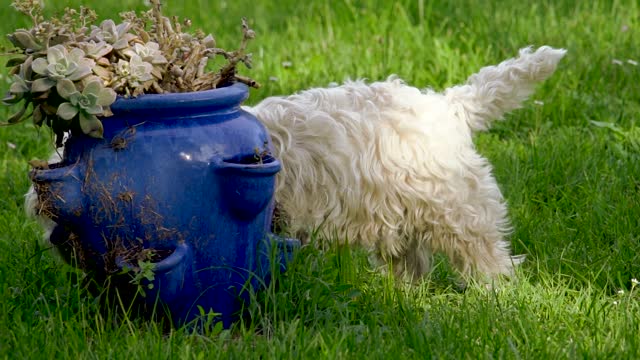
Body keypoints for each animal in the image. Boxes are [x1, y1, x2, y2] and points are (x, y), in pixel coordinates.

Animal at [25, 45, 564, 282]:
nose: (59, 245)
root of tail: (452, 105)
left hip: (459, 212)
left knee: (488, 258)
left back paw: (493, 296)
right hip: (405, 213)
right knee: (411, 259)